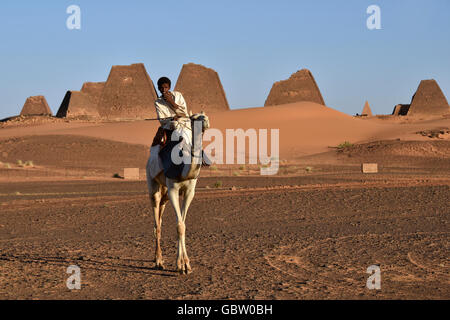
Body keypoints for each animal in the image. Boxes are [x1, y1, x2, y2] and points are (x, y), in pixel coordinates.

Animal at [147, 113, 210, 276]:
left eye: (205, 116)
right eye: (195, 118)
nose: (205, 121)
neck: (183, 168)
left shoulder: (189, 191)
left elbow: (182, 224)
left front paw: (184, 265)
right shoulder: (173, 189)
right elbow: (179, 226)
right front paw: (182, 265)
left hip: (165, 193)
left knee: (160, 215)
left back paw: (157, 258)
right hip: (152, 183)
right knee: (157, 222)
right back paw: (158, 261)